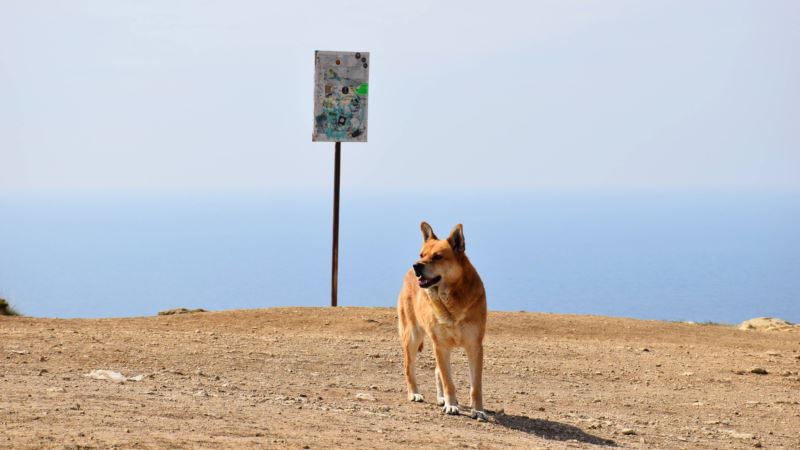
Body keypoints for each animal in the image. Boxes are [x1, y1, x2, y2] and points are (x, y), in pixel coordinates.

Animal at [398, 221, 490, 422]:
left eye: (438, 257)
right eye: (422, 254)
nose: (416, 265)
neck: (451, 300)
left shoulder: (474, 346)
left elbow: (476, 386)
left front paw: (478, 410)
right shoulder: (441, 345)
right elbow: (449, 381)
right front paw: (451, 405)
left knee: (436, 370)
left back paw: (440, 398)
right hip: (413, 336)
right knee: (409, 367)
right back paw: (414, 393)